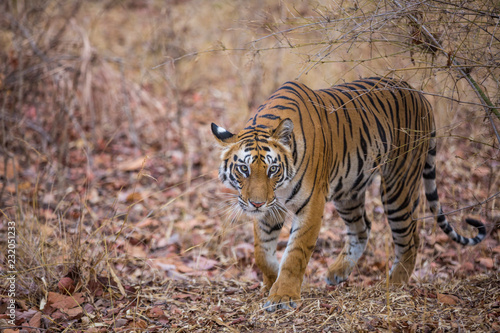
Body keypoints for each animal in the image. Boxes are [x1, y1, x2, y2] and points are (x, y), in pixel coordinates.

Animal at [210, 76, 484, 310]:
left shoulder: (311, 204)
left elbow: (296, 253)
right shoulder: (272, 207)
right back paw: (337, 272)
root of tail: (420, 94)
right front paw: (271, 282)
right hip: (348, 191)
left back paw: (394, 285)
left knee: (410, 238)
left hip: (398, 185)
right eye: (244, 168)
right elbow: (262, 252)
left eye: (273, 169)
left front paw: (283, 296)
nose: (255, 204)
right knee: (363, 228)